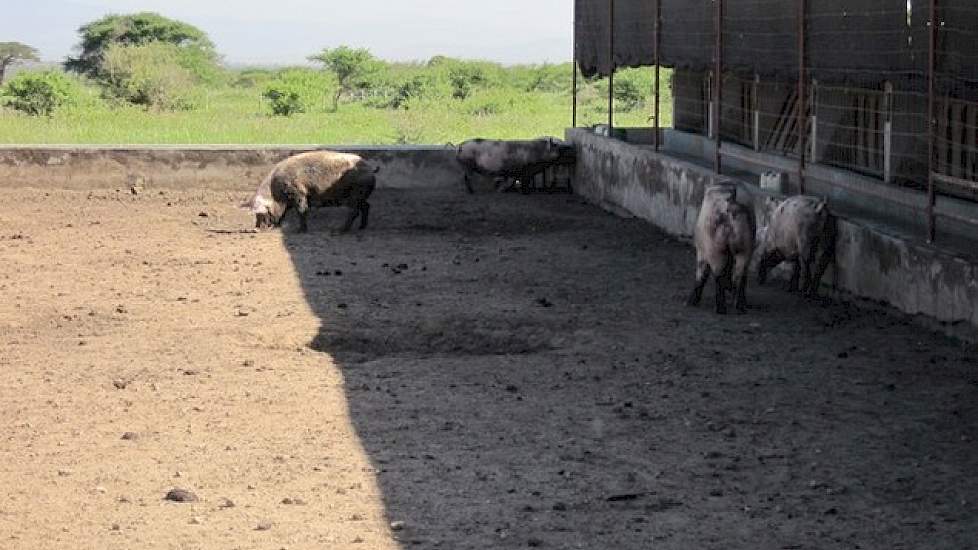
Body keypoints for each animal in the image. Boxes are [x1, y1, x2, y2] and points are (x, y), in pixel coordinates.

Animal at [243, 152, 378, 234]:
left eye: (262, 214)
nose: (255, 230)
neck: (276, 193)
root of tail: (371, 169)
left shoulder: (298, 192)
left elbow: (302, 210)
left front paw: (300, 231)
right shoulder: (289, 201)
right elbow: (284, 213)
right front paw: (277, 227)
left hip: (356, 192)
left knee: (354, 211)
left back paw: (339, 231)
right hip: (361, 195)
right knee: (366, 206)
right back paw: (362, 227)